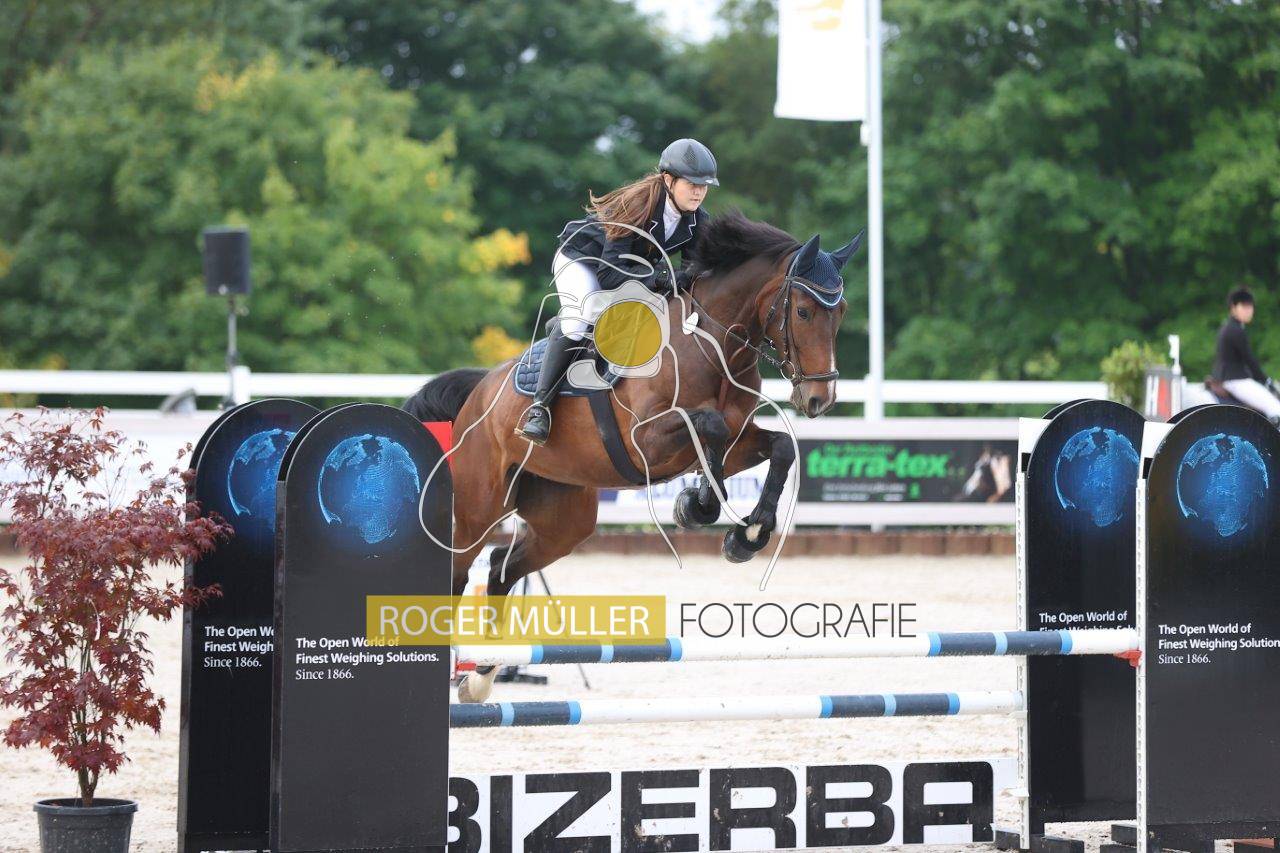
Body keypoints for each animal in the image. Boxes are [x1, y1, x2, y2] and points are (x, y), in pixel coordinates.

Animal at [405, 212, 861, 701]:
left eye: (841, 313)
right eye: (803, 311)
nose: (819, 399)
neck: (710, 345)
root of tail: (480, 391)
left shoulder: (738, 440)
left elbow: (779, 447)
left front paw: (748, 533)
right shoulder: (648, 439)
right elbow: (711, 429)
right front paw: (699, 506)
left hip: (563, 518)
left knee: (500, 568)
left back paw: (482, 675)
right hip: (479, 506)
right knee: (458, 571)